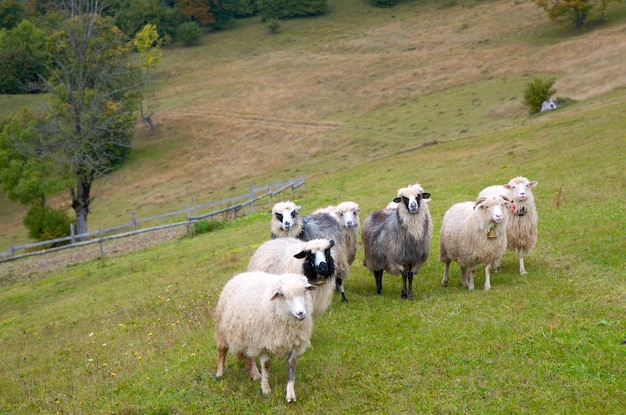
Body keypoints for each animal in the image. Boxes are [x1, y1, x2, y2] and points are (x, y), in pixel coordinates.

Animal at [214, 272, 316, 404]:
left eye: (304, 291)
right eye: (283, 295)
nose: (300, 314)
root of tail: (239, 275)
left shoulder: (293, 342)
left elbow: (291, 365)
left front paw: (290, 394)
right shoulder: (262, 342)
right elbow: (266, 364)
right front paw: (266, 389)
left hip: (249, 337)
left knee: (249, 356)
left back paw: (255, 374)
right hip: (222, 331)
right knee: (222, 352)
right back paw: (220, 373)